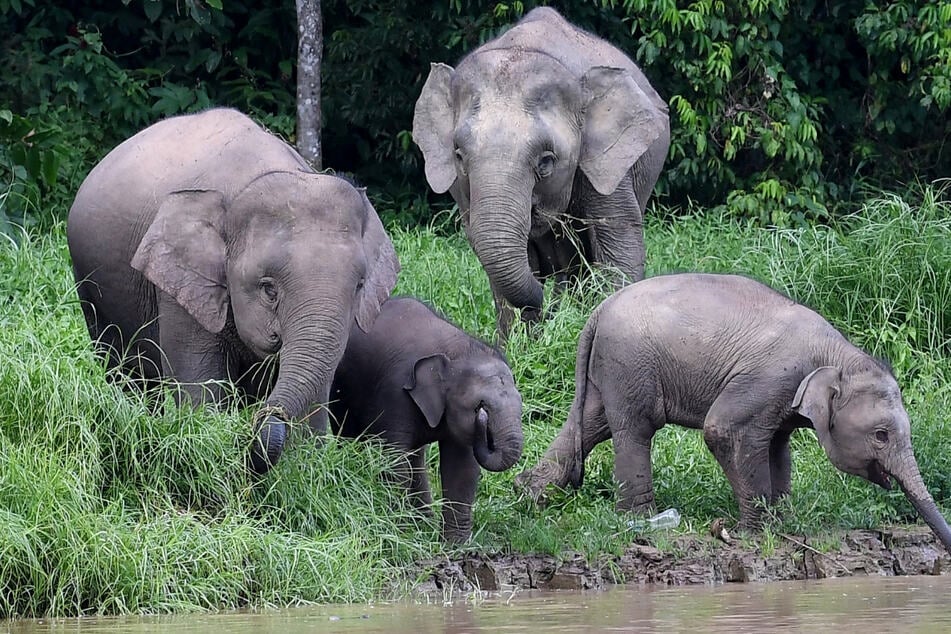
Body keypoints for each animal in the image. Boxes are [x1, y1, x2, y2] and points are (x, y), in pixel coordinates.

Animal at [67, 108, 400, 472]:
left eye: (359, 287)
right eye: (269, 290)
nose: (265, 418)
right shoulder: (180, 287)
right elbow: (201, 390)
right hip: (92, 289)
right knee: (127, 373)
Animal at [330, 296, 524, 540]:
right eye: (481, 406)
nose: (482, 420)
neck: (456, 351)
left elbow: (462, 468)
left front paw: (454, 544)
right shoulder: (395, 393)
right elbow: (394, 460)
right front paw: (400, 532)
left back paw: (423, 521)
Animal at [414, 7, 668, 338]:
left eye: (546, 162)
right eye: (459, 156)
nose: (542, 298)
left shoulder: (607, 167)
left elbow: (619, 238)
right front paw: (520, 341)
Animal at [516, 272, 951, 552]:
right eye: (881, 435)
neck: (839, 354)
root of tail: (598, 309)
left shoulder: (781, 396)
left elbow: (778, 446)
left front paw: (781, 522)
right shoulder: (770, 378)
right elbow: (723, 431)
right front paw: (755, 532)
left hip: (612, 367)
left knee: (594, 424)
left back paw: (532, 494)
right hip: (630, 363)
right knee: (634, 429)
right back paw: (640, 519)